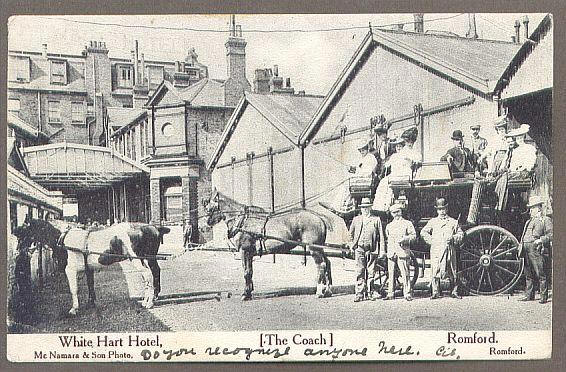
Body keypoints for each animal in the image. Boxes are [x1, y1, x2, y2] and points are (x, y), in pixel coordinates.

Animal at [12, 219, 170, 316]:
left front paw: (74, 309)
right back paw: (151, 298)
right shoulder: (89, 269)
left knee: (148, 275)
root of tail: (152, 227)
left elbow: (74, 289)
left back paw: (148, 302)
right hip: (148, 258)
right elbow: (90, 285)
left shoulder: (70, 270)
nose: (14, 232)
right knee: (154, 272)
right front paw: (91, 303)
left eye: (25, 227)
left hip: (137, 259)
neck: (62, 238)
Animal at [205, 192, 336, 300]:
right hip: (319, 247)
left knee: (321, 265)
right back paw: (328, 290)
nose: (207, 222)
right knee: (327, 262)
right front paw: (249, 292)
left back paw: (319, 292)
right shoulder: (250, 253)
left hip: (313, 248)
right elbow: (250, 272)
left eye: (209, 207)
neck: (243, 221)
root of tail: (319, 217)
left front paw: (245, 294)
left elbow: (246, 272)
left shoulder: (245, 251)